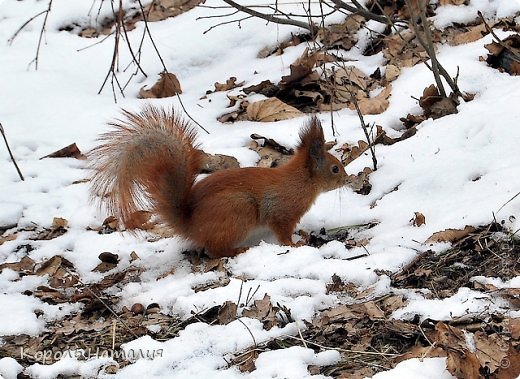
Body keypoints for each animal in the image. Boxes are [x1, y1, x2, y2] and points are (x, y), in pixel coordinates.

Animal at [88, 105, 350, 256]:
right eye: (335, 168)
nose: (347, 180)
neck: (301, 180)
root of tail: (191, 224)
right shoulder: (282, 210)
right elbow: (282, 231)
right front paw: (294, 245)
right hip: (239, 210)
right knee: (215, 250)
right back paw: (239, 250)